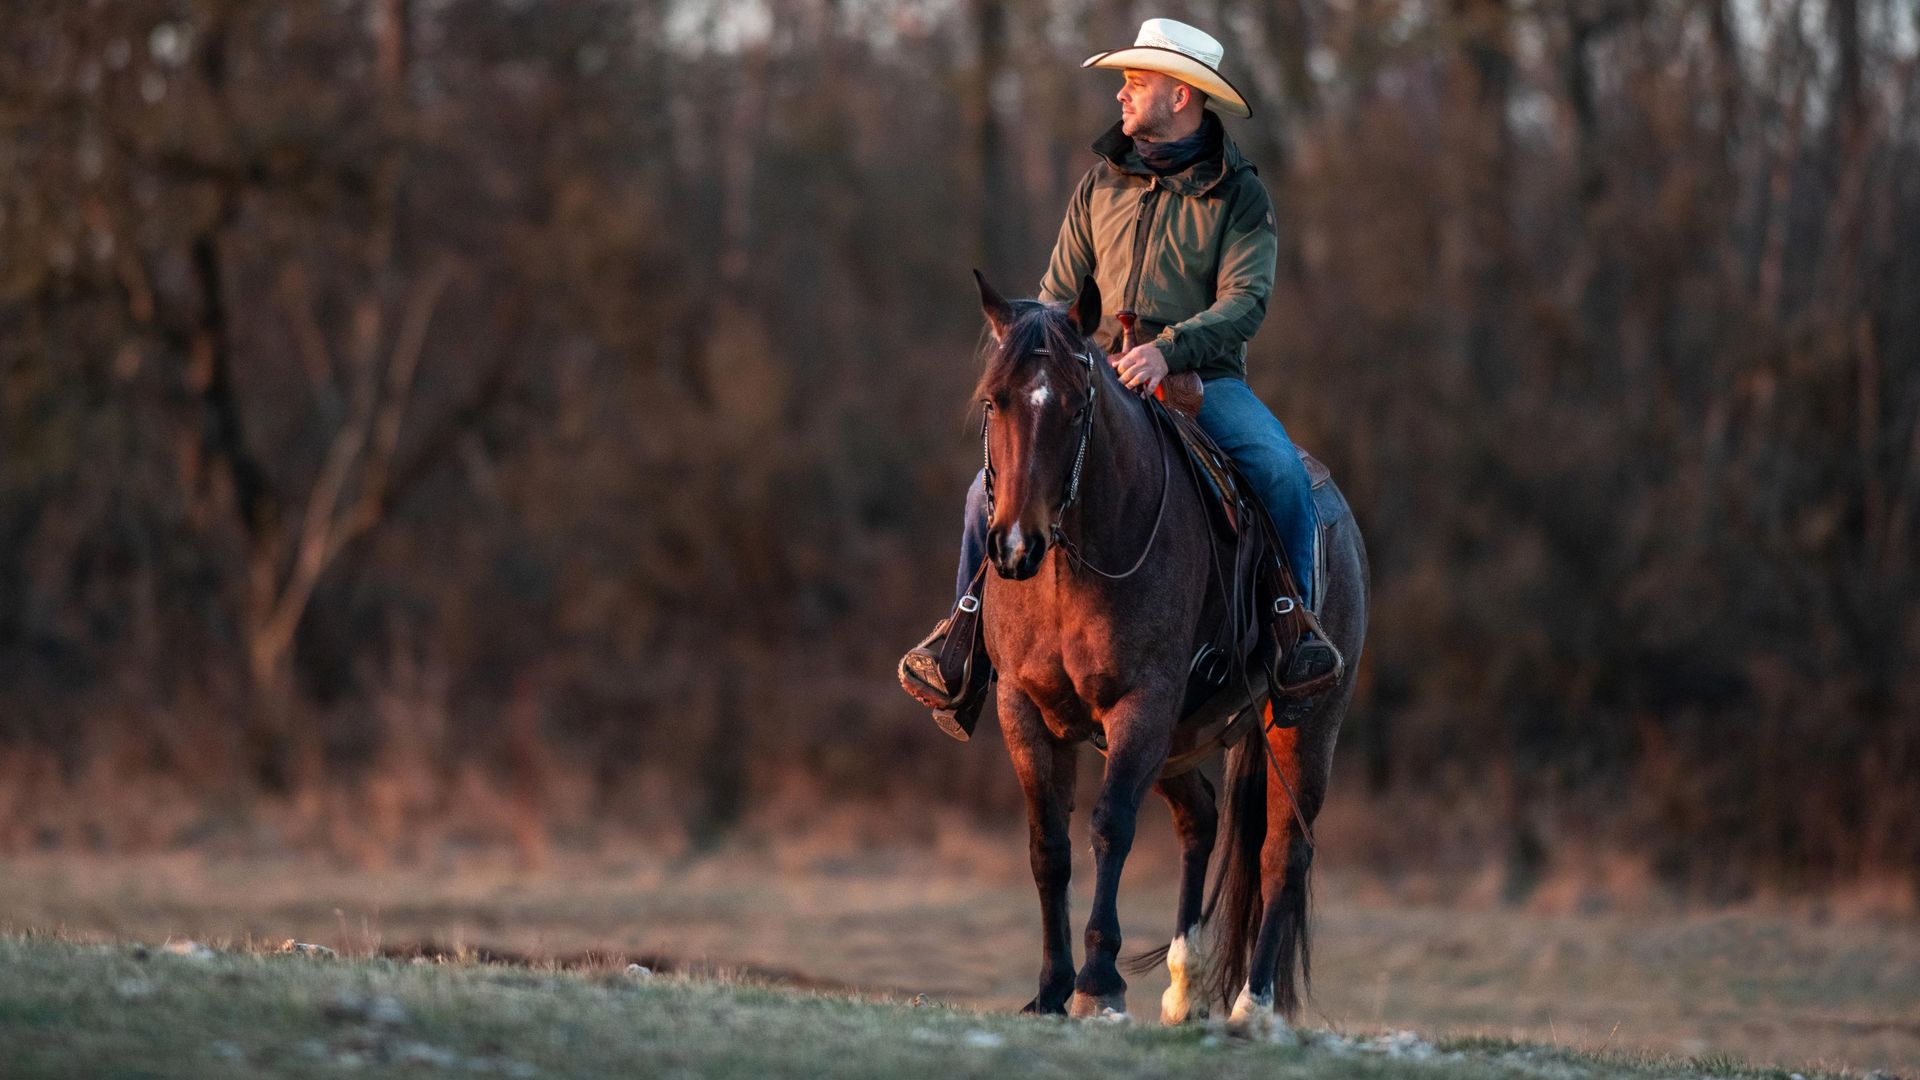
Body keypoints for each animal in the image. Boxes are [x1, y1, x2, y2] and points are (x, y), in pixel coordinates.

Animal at [975, 265, 1367, 1030]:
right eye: (993, 400)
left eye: (1075, 406)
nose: (1014, 545)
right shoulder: (1023, 708)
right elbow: (1049, 845)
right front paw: (1049, 989)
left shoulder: (1142, 703)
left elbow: (1110, 828)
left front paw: (1099, 981)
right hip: (1181, 738)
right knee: (1202, 817)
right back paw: (1186, 988)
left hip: (1302, 728)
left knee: (1282, 856)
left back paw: (1253, 1005)